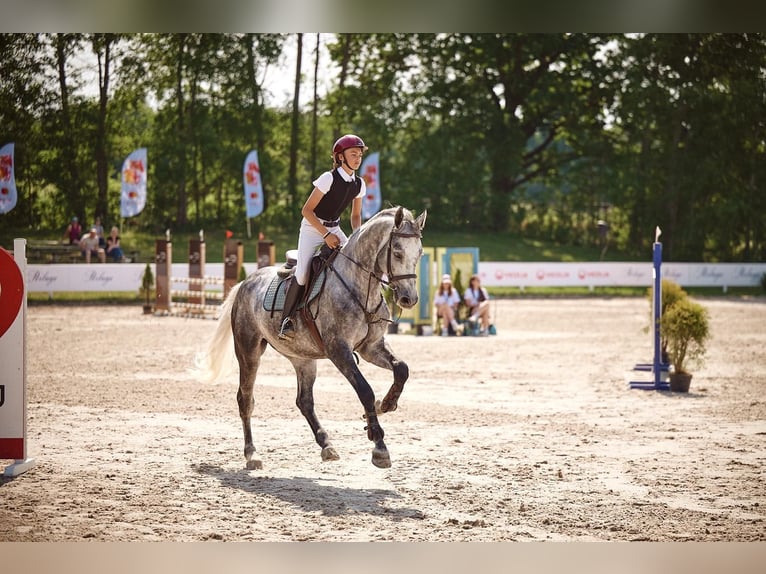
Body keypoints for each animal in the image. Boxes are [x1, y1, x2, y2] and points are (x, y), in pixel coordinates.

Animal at [196, 207, 426, 472]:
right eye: (397, 252)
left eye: (420, 252)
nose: (409, 299)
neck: (359, 286)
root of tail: (245, 282)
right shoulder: (339, 350)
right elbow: (365, 391)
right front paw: (379, 446)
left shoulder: (371, 347)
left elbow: (402, 369)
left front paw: (385, 404)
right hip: (248, 351)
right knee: (245, 399)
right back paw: (252, 454)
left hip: (302, 358)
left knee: (304, 401)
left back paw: (326, 444)